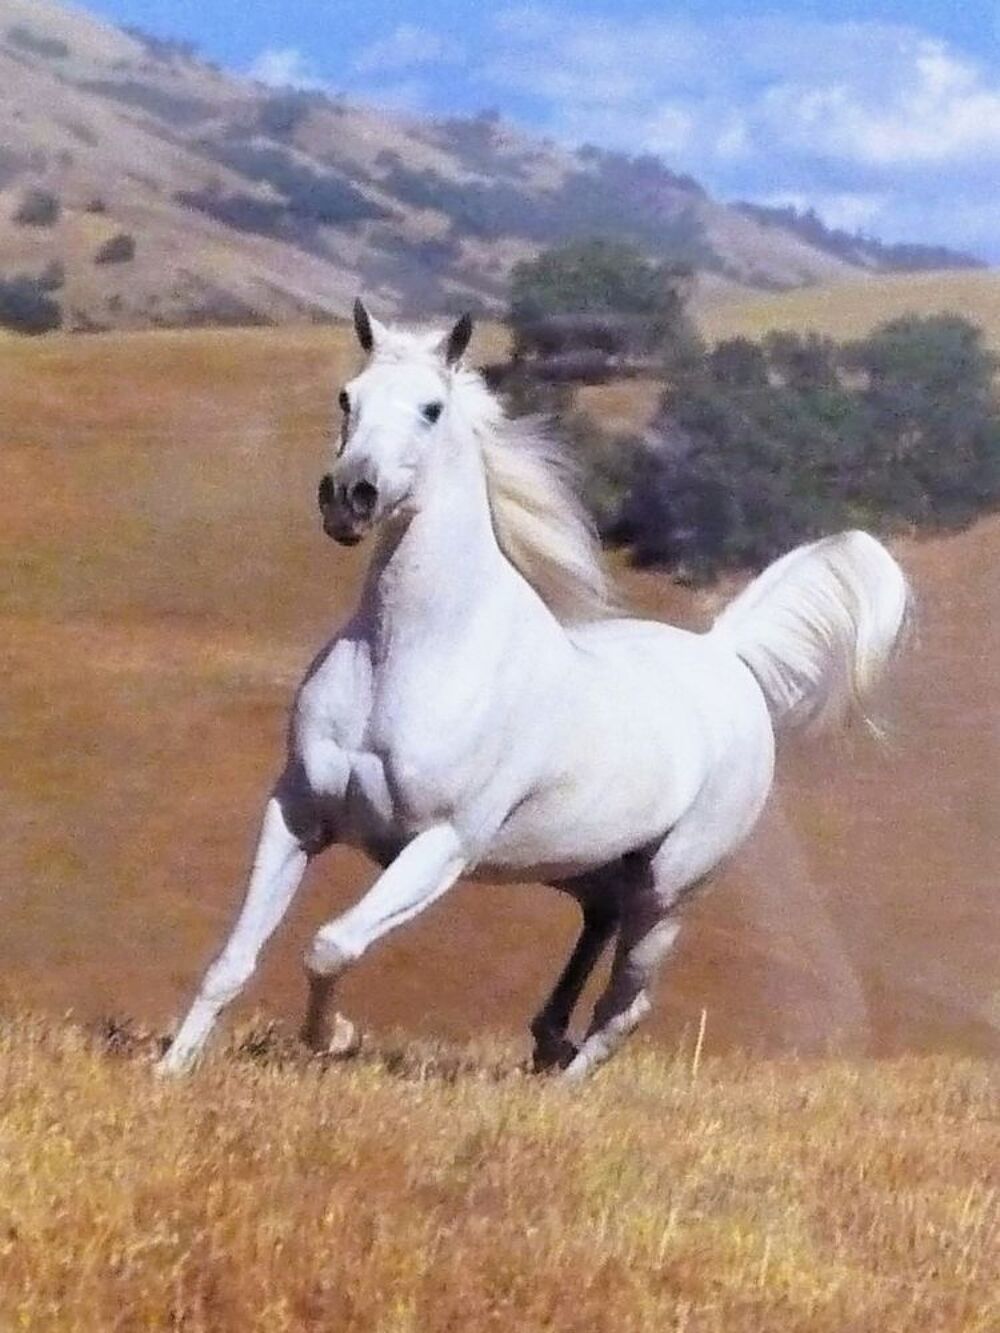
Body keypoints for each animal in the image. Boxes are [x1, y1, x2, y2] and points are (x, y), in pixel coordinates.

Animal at [158, 301, 911, 1080]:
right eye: (347, 398)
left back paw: (563, 1083)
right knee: (594, 935)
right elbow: (233, 960)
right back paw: (548, 1042)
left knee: (627, 1005)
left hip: (667, 890)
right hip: (590, 868)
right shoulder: (297, 813)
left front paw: (333, 1037)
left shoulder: (440, 845)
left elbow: (331, 944)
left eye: (430, 409)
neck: (409, 655)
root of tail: (724, 656)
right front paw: (171, 1070)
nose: (349, 498)